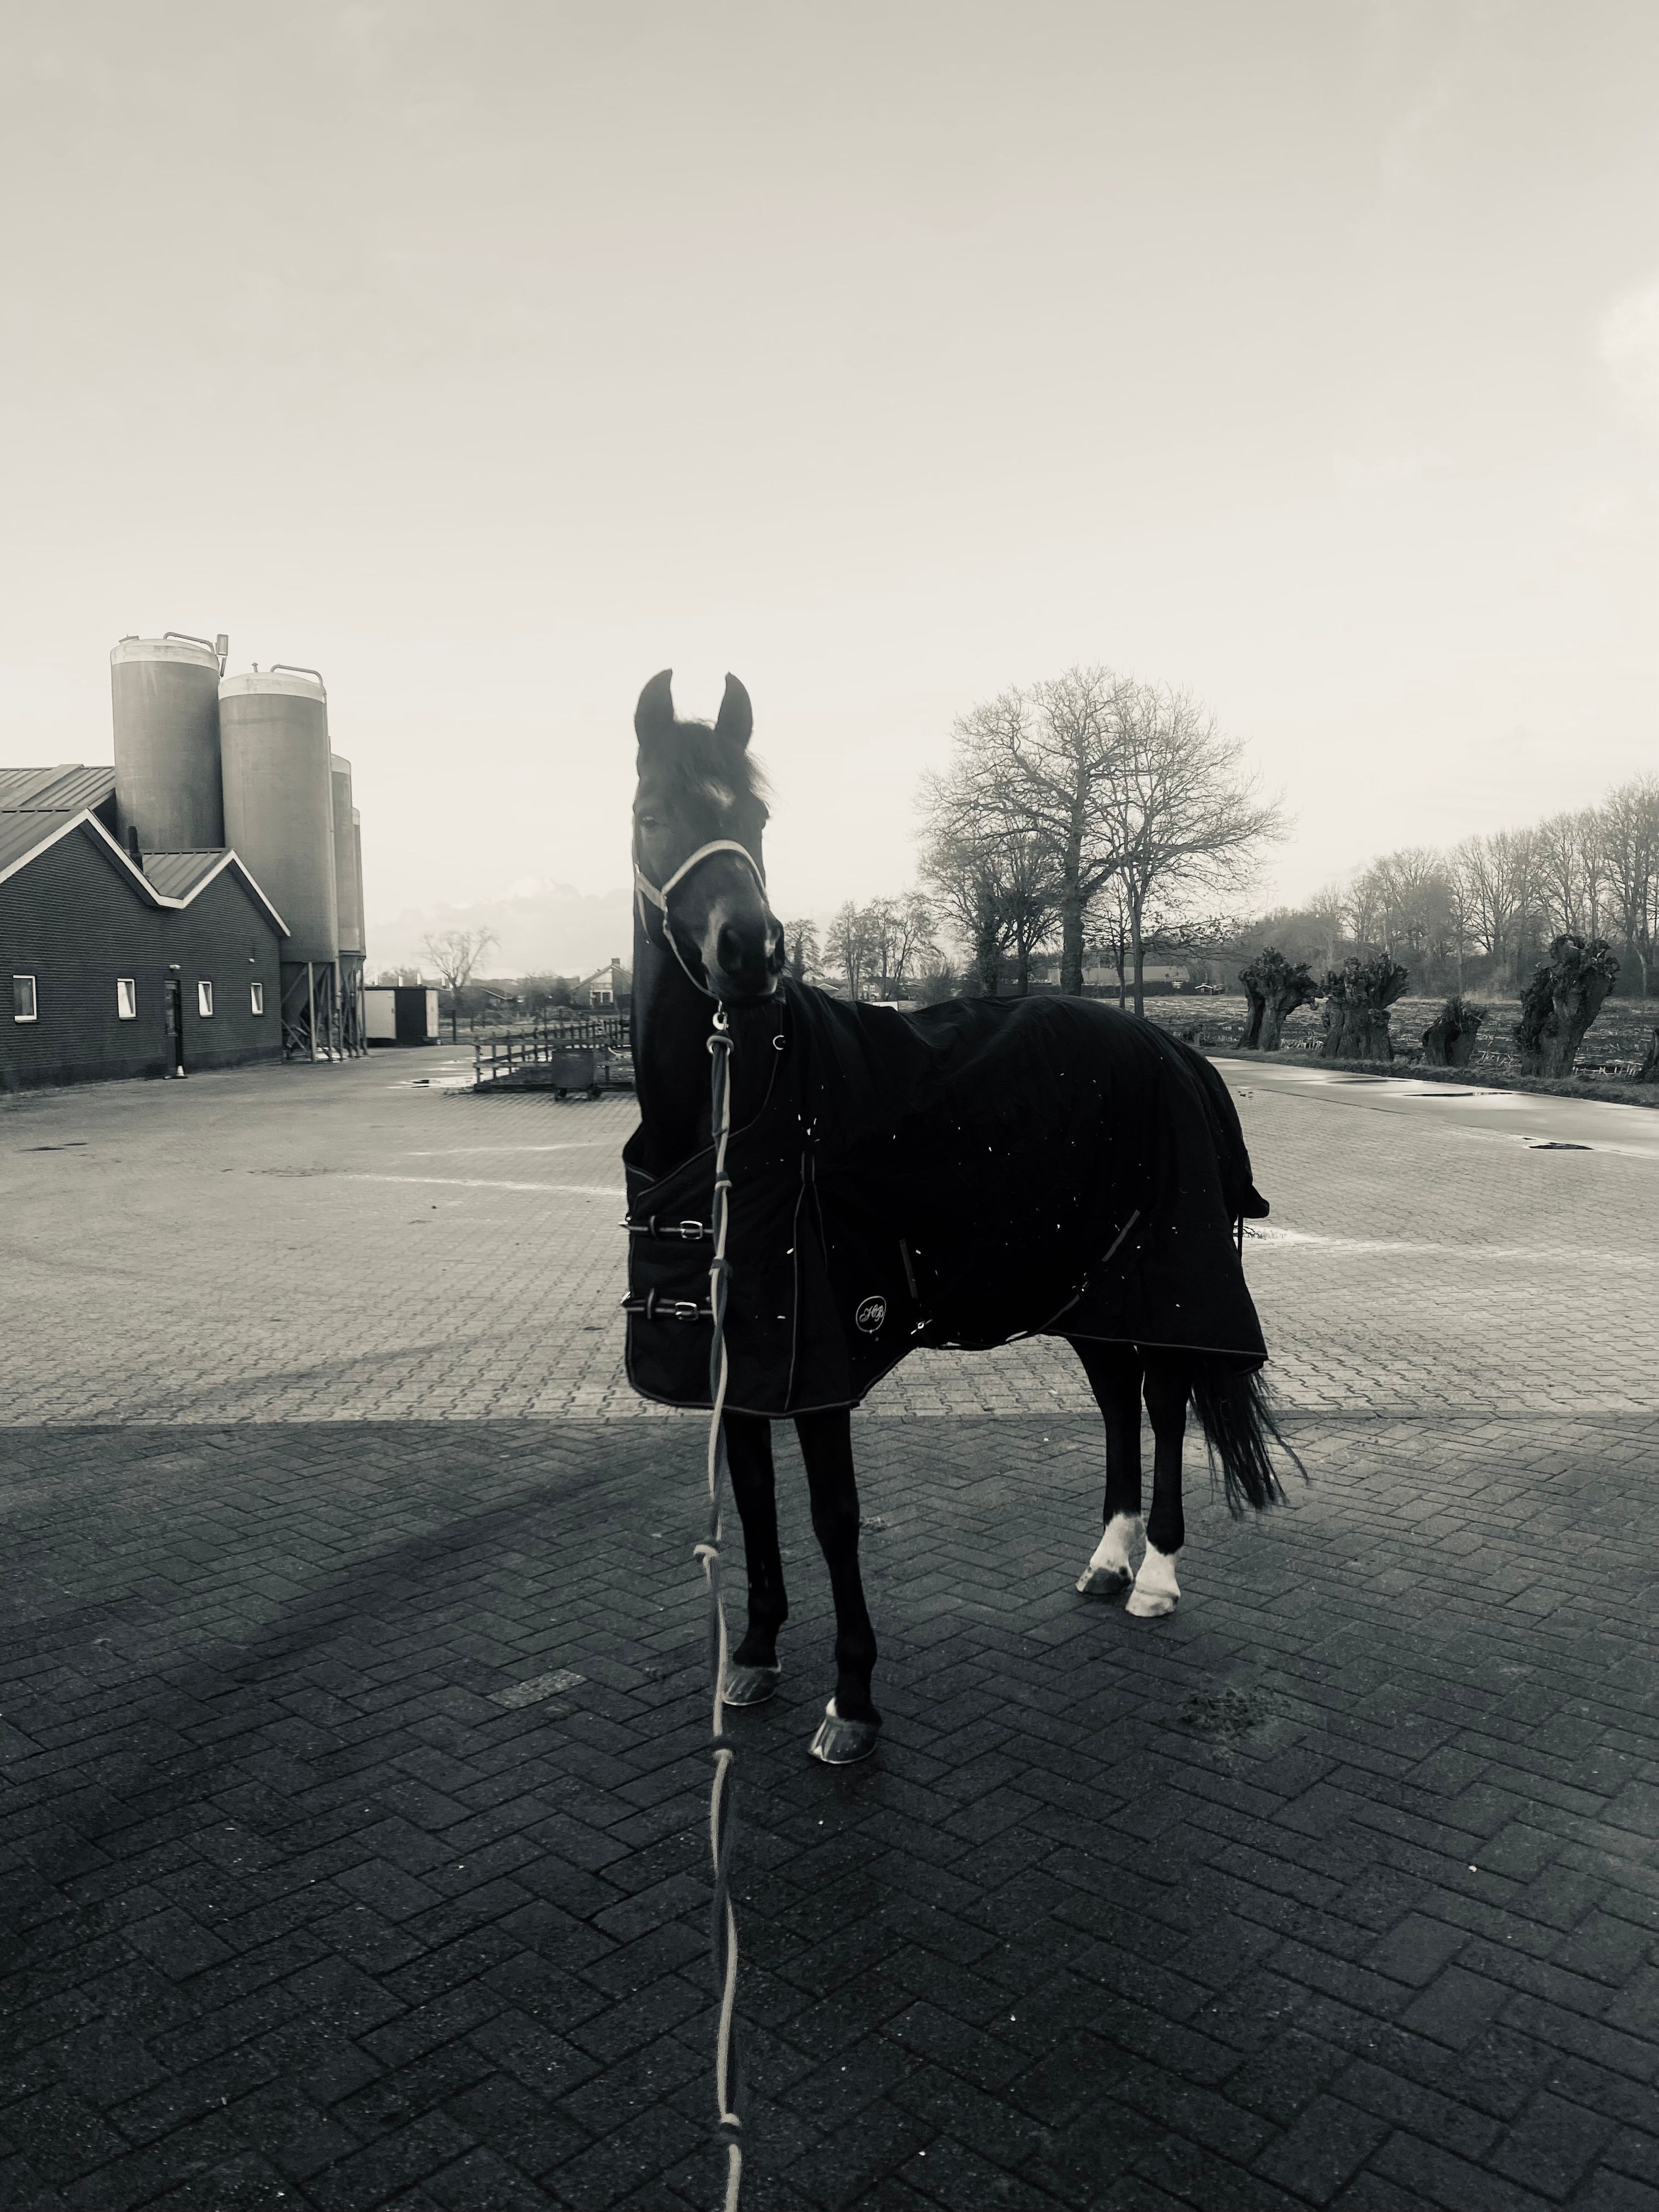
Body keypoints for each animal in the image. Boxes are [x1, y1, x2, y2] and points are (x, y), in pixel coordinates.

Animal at [623, 669, 1294, 1765]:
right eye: (652, 815)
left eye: (757, 819)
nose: (749, 952)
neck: (738, 1119)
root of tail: (1171, 1047)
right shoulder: (741, 1365)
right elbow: (756, 1502)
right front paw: (754, 1656)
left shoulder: (816, 1360)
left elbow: (834, 1514)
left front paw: (852, 1703)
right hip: (1086, 1283)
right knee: (1119, 1397)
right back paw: (1108, 1559)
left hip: (1161, 1279)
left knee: (1163, 1399)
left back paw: (1155, 1573)